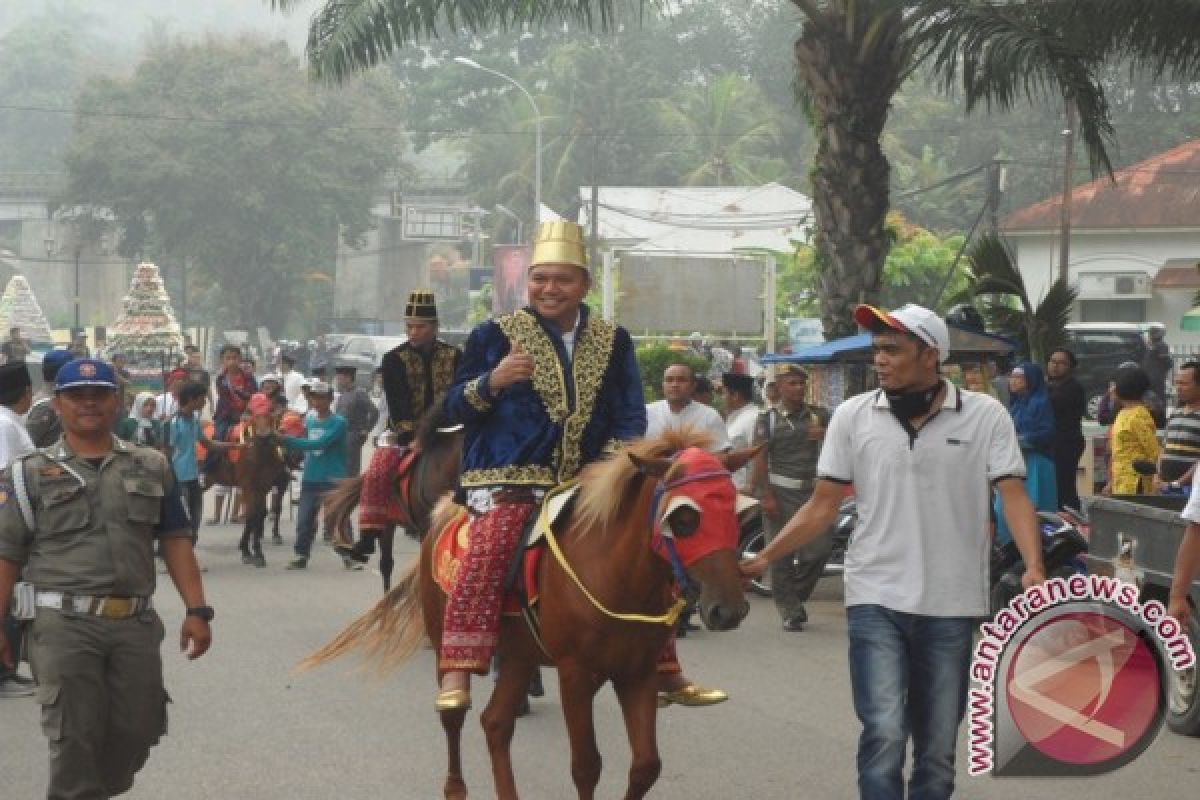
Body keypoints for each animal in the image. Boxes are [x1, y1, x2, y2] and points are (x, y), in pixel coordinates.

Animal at [207, 417, 289, 566]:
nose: (264, 436)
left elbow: (259, 514)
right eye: (254, 417)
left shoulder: (263, 487)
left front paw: (256, 552)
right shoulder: (248, 487)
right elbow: (251, 515)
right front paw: (246, 551)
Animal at [300, 431, 748, 800]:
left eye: (735, 513)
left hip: (519, 654)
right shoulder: (575, 673)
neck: (614, 574)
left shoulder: (637, 673)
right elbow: (587, 767)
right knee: (454, 715)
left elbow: (645, 767)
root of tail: (445, 513)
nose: (729, 610)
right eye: (685, 518)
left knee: (496, 723)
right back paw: (454, 781)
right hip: (447, 638)